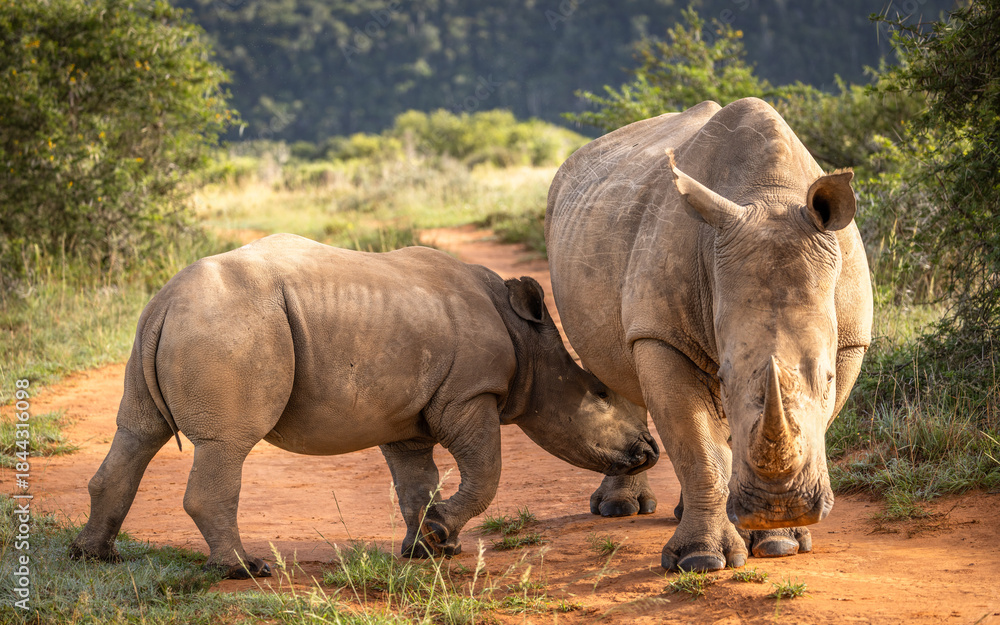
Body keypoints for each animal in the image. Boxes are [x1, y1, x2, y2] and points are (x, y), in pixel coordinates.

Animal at [69, 234, 658, 578]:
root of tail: (165, 301)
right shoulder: (471, 393)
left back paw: (94, 557)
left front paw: (430, 546)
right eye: (600, 394)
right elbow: (485, 472)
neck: (527, 341)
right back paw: (247, 570)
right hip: (229, 326)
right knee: (226, 446)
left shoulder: (409, 416)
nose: (649, 450)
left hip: (174, 326)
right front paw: (440, 536)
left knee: (137, 433)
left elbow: (418, 483)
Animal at [545, 98, 873, 572]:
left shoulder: (850, 338)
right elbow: (697, 446)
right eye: (725, 379)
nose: (782, 508)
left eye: (828, 378)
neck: (770, 194)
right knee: (610, 365)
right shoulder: (662, 333)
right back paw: (619, 509)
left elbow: (812, 421)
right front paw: (701, 561)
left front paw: (780, 541)